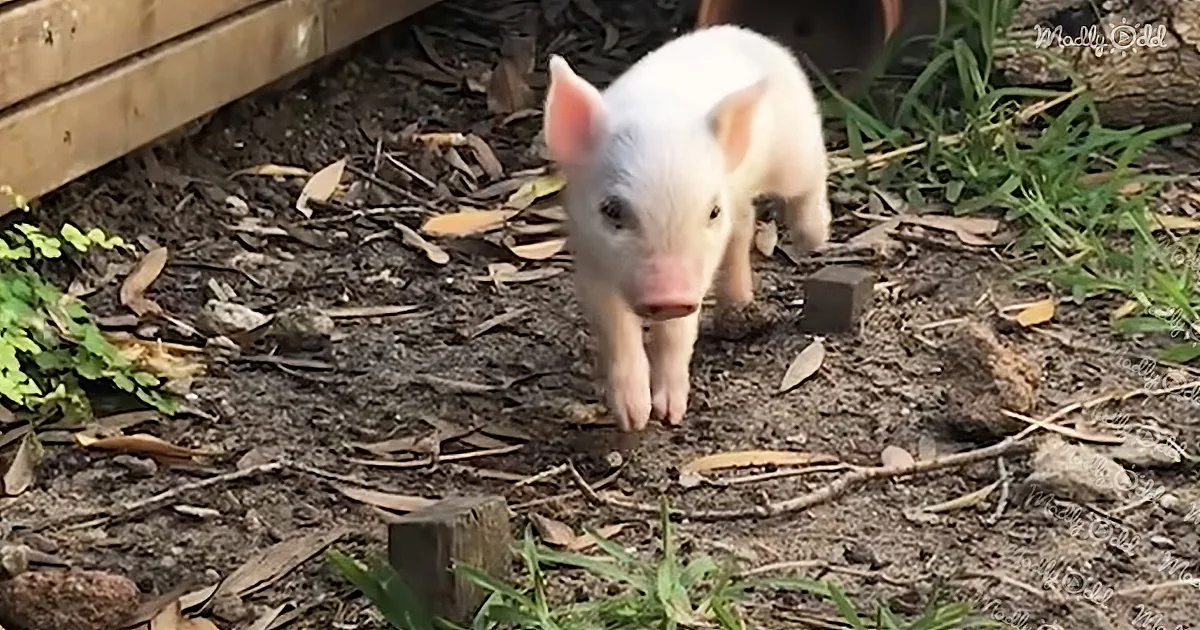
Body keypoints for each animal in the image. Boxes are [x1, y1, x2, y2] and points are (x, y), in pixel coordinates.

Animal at [541, 24, 831, 432]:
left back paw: (814, 240)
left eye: (711, 212)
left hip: (797, 151)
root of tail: (750, 35)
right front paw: (635, 418)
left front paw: (670, 415)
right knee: (744, 224)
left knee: (814, 176)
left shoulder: (696, 275)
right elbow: (615, 327)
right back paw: (739, 304)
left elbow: (679, 332)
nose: (669, 296)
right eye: (611, 209)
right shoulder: (588, 257)